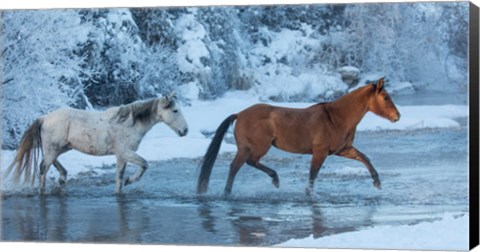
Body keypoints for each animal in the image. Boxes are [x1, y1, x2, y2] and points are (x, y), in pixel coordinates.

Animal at [4, 93, 188, 194]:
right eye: (175, 110)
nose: (185, 131)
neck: (129, 123)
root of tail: (45, 118)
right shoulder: (126, 153)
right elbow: (144, 164)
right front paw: (130, 180)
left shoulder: (121, 157)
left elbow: (119, 178)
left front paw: (123, 185)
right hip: (54, 148)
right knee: (43, 168)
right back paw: (45, 190)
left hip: (62, 148)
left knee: (49, 161)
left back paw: (63, 177)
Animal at [197, 78, 400, 196]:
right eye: (385, 97)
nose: (397, 116)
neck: (336, 117)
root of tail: (239, 114)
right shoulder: (320, 152)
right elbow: (313, 174)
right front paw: (308, 194)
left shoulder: (342, 149)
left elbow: (364, 158)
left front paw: (377, 183)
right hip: (257, 147)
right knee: (240, 165)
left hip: (249, 148)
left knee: (240, 165)